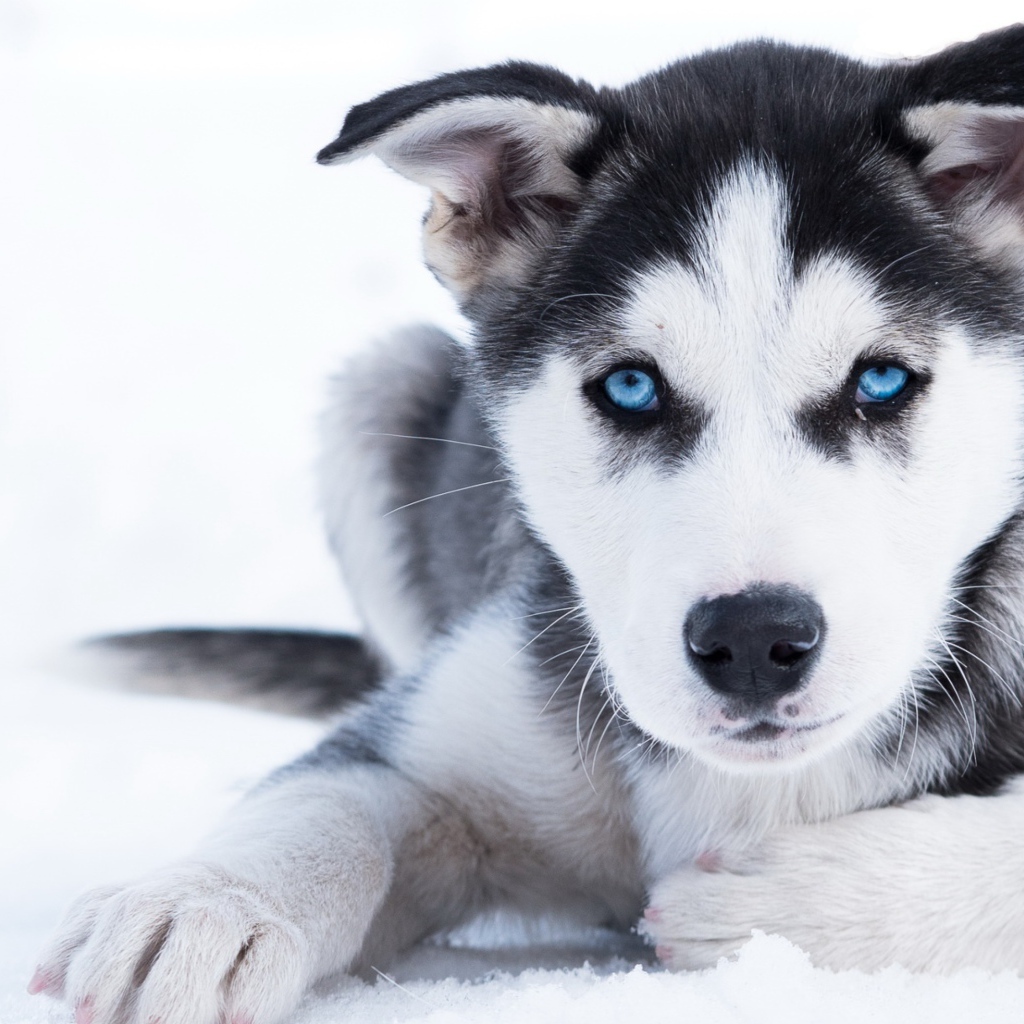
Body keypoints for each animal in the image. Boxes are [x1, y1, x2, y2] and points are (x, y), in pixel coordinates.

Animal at [28, 28, 1024, 1024]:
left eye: (882, 380)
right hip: (381, 384)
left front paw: (780, 904)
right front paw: (200, 905)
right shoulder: (433, 741)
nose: (752, 639)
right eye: (631, 385)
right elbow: (327, 799)